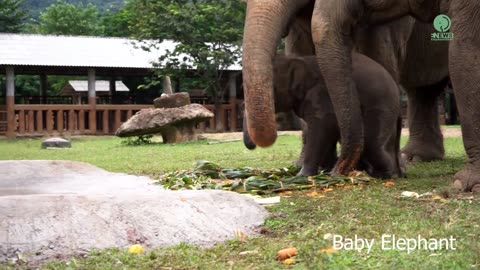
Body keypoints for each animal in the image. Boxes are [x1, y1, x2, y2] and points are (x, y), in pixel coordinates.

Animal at [242, 53, 404, 179]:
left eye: (272, 89)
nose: (252, 146)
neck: (300, 60)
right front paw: (322, 171)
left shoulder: (322, 94)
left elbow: (323, 128)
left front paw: (302, 176)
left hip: (381, 107)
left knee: (371, 144)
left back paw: (382, 174)